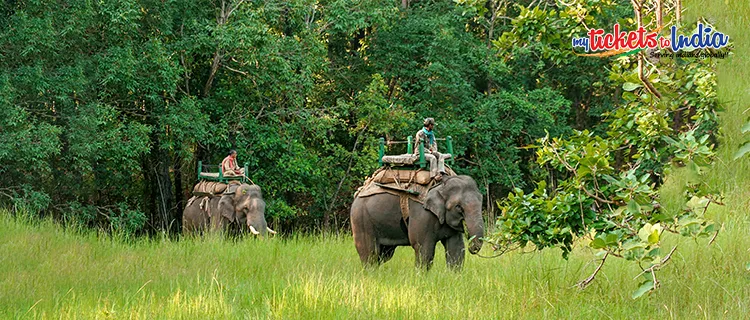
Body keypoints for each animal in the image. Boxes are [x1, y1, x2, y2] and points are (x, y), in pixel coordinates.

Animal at [350, 175, 484, 270]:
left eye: (481, 201)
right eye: (459, 207)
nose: (472, 248)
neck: (440, 185)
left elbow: (456, 248)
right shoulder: (422, 214)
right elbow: (423, 247)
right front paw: (422, 277)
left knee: (384, 254)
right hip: (361, 218)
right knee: (370, 252)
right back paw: (370, 273)